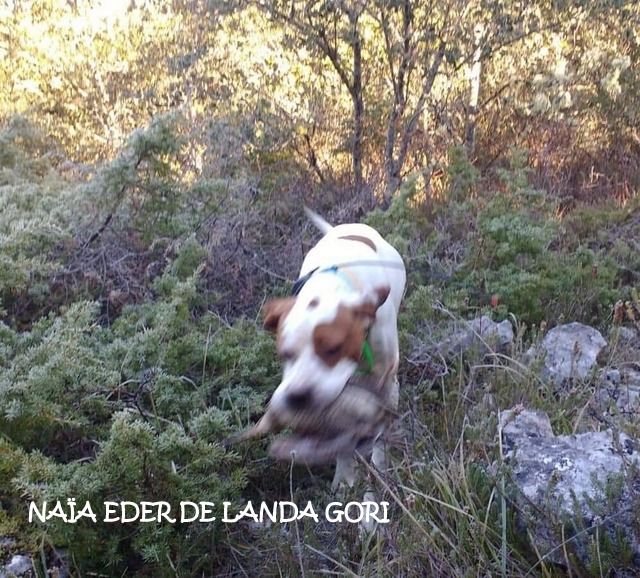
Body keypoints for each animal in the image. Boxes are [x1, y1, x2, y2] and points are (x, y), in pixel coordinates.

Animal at [262, 207, 404, 486]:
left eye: (333, 349)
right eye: (285, 353)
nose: (298, 397)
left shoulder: (386, 382)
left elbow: (380, 432)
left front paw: (380, 469)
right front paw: (345, 478)